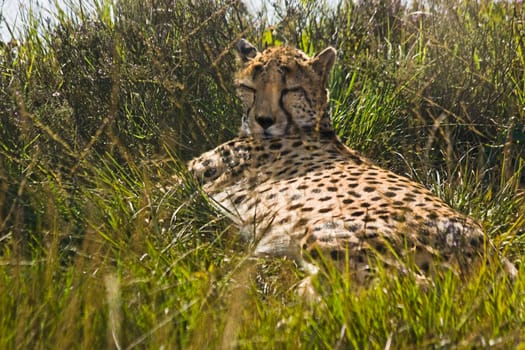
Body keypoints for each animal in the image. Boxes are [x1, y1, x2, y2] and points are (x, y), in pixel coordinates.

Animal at [187, 39, 512, 284]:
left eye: (290, 89)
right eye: (250, 88)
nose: (263, 121)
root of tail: (489, 249)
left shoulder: (199, 176)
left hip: (330, 233)